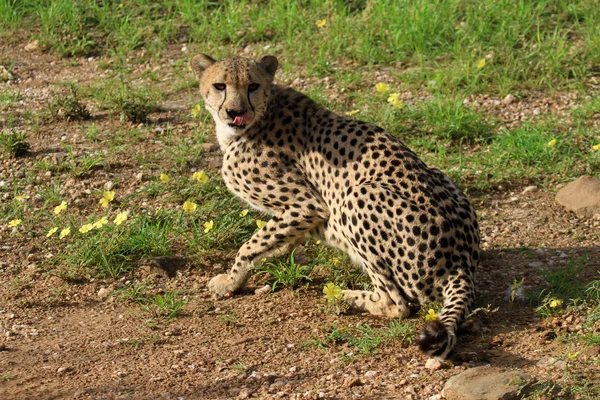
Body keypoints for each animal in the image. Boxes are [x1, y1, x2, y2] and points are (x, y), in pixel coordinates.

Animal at [190, 54, 480, 360]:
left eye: (253, 86)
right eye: (220, 86)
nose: (235, 112)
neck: (261, 115)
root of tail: (463, 262)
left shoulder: (307, 204)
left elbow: (249, 245)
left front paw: (230, 281)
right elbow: (273, 240)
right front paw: (275, 256)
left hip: (355, 198)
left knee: (396, 304)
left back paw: (344, 295)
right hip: (438, 175)